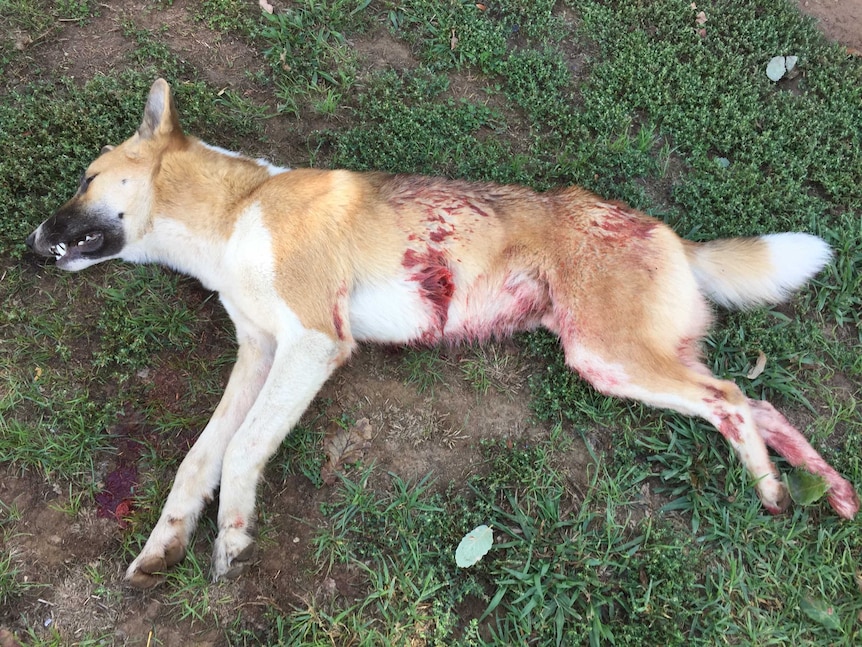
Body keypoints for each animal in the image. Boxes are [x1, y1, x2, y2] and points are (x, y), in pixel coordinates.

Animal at [23, 79, 860, 588]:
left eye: (88, 177)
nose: (30, 244)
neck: (238, 211)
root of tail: (671, 234)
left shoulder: (314, 345)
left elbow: (240, 450)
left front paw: (231, 535)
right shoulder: (259, 351)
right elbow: (199, 459)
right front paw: (164, 546)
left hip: (611, 357)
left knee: (732, 398)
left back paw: (772, 486)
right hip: (622, 360)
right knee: (760, 403)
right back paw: (830, 488)